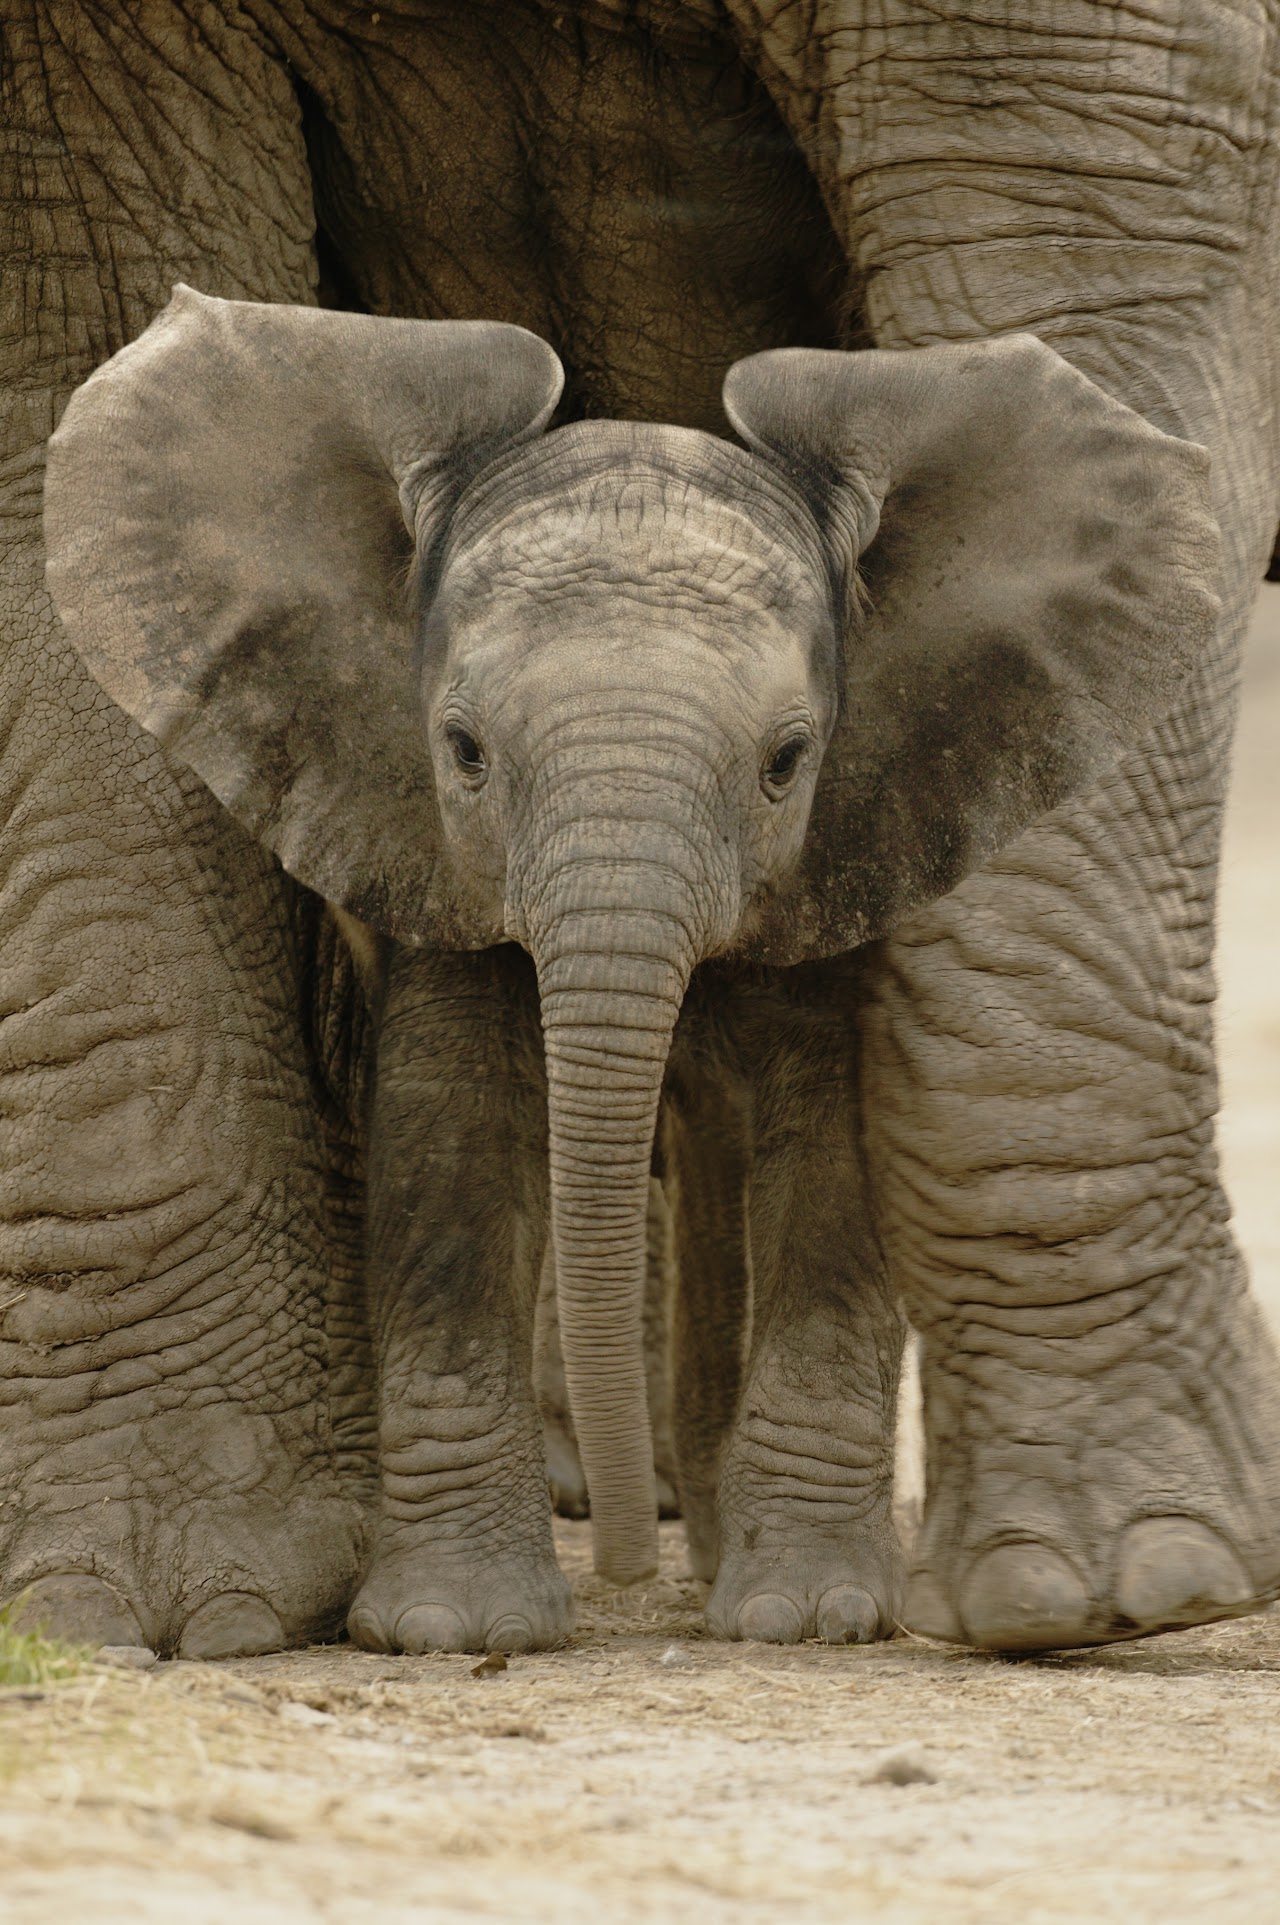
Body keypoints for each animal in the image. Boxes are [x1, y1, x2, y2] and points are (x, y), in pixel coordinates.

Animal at [7, 0, 1280, 1658]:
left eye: (790, 762)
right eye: (463, 751)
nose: (617, 1576)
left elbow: (1086, 216)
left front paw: (1102, 1590)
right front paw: (207, 1614)